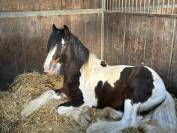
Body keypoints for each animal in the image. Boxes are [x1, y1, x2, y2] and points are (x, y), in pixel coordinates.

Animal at [21, 24, 177, 132]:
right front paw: (26, 110)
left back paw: (95, 127)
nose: (46, 68)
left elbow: (59, 108)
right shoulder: (64, 92)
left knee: (129, 121)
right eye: (50, 42)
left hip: (132, 96)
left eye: (63, 44)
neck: (80, 73)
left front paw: (83, 116)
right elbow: (47, 92)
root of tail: (163, 87)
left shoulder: (80, 100)